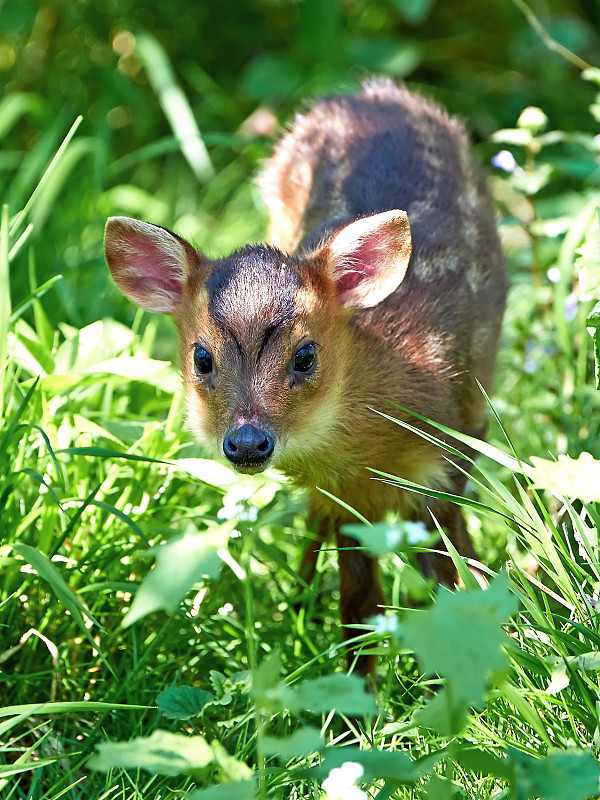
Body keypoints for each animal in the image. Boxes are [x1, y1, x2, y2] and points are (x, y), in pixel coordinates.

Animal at [104, 79, 506, 676]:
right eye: (202, 358)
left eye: (305, 355)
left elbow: (452, 579)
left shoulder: (449, 459)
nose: (247, 442)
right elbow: (360, 608)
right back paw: (297, 600)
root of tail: (371, 90)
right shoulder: (345, 502)